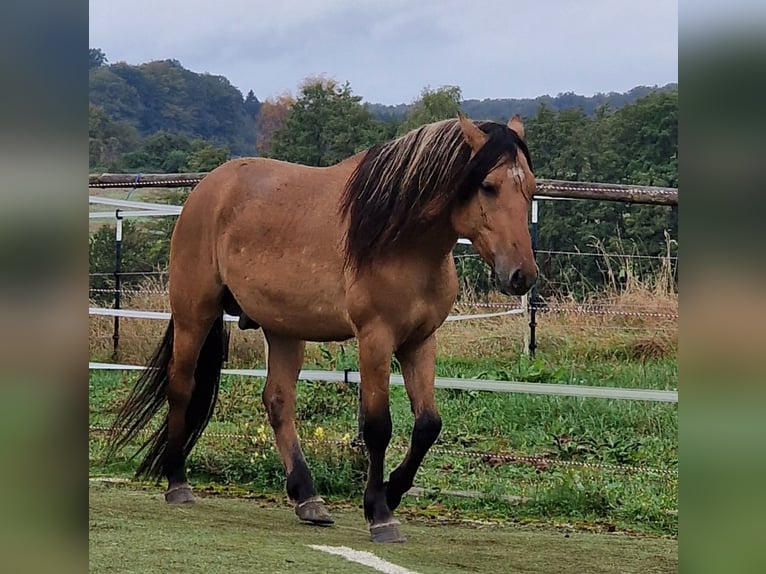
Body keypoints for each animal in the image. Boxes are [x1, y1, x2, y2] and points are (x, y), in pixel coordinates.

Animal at [106, 115, 540, 548]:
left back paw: (308, 498)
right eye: (488, 185)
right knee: (182, 385)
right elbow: (378, 427)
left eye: (531, 187)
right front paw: (380, 513)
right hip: (194, 314)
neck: (401, 239)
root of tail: (206, 189)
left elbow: (428, 425)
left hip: (282, 328)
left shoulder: (420, 341)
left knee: (278, 401)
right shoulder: (375, 339)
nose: (522, 275)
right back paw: (177, 482)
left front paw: (393, 492)